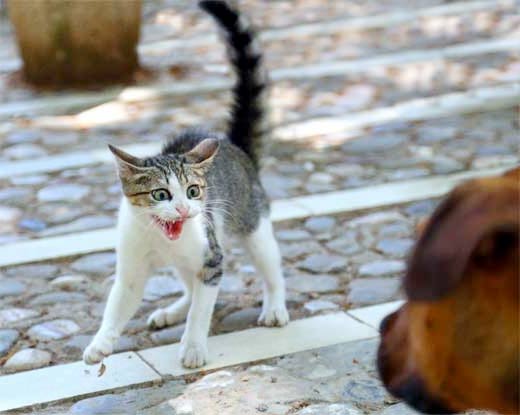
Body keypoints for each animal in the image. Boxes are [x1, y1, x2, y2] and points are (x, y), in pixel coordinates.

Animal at [83, 0, 290, 370]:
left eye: (193, 191)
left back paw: (275, 306)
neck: (162, 240)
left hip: (254, 227)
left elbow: (202, 308)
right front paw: (100, 342)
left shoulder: (212, 258)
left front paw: (193, 346)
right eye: (161, 194)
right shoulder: (131, 268)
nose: (183, 207)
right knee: (190, 286)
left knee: (270, 267)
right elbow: (117, 305)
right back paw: (172, 311)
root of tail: (235, 147)